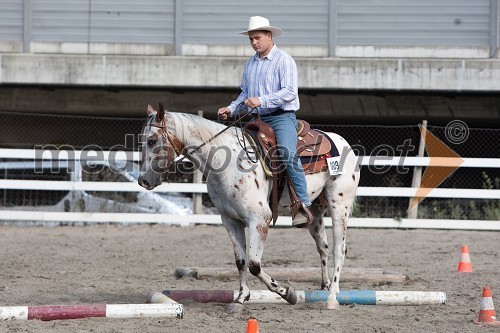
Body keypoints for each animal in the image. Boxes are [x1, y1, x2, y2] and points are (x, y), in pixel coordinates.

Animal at [138, 104, 360, 312]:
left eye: (152, 141)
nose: (143, 180)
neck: (227, 164)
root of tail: (341, 142)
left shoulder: (259, 219)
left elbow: (254, 264)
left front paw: (288, 293)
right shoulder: (230, 220)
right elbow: (241, 261)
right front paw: (240, 298)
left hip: (339, 205)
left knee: (339, 249)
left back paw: (332, 298)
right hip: (315, 211)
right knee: (323, 246)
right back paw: (325, 286)